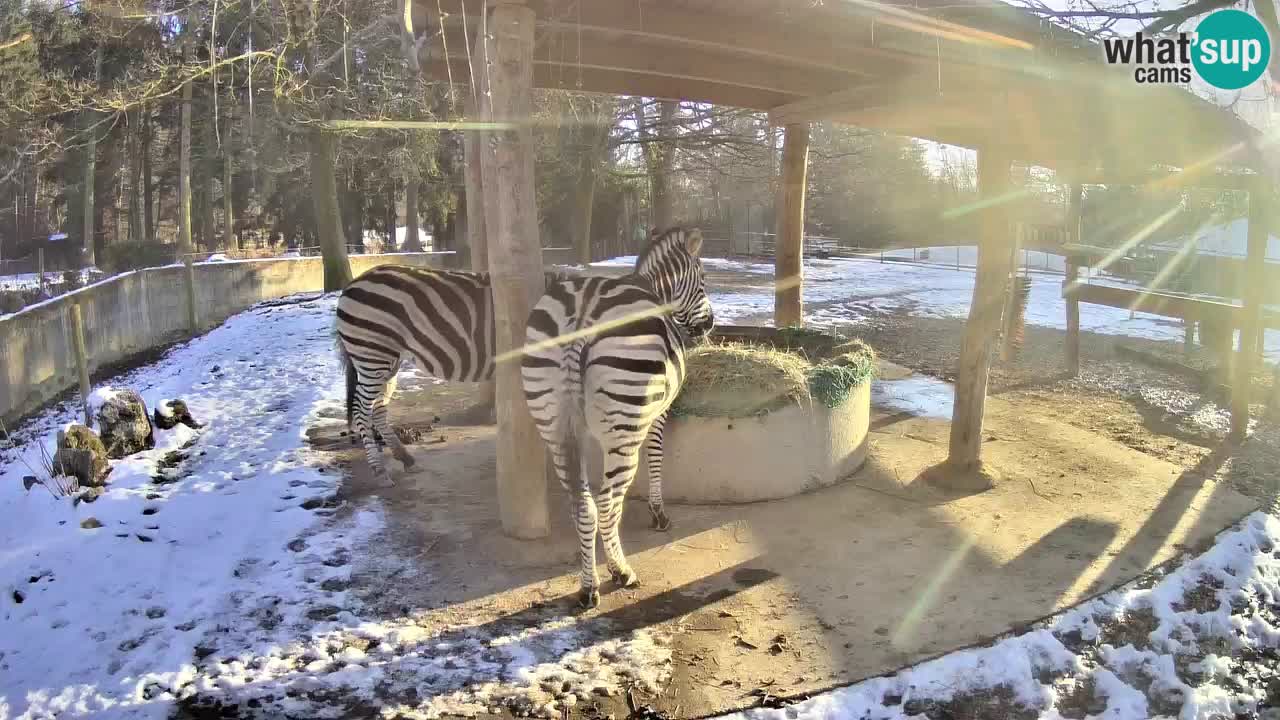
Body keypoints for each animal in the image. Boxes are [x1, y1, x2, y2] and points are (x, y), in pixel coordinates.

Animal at [335, 260, 675, 530]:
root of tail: (352, 284)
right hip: (372, 354)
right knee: (363, 411)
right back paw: (380, 472)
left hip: (387, 360)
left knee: (378, 408)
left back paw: (403, 456)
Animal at [522, 224, 721, 604]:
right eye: (702, 280)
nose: (709, 326)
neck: (654, 288)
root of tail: (580, 313)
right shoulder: (657, 413)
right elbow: (656, 455)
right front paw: (658, 513)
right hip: (625, 425)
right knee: (607, 503)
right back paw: (620, 571)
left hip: (552, 421)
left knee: (582, 503)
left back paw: (588, 586)